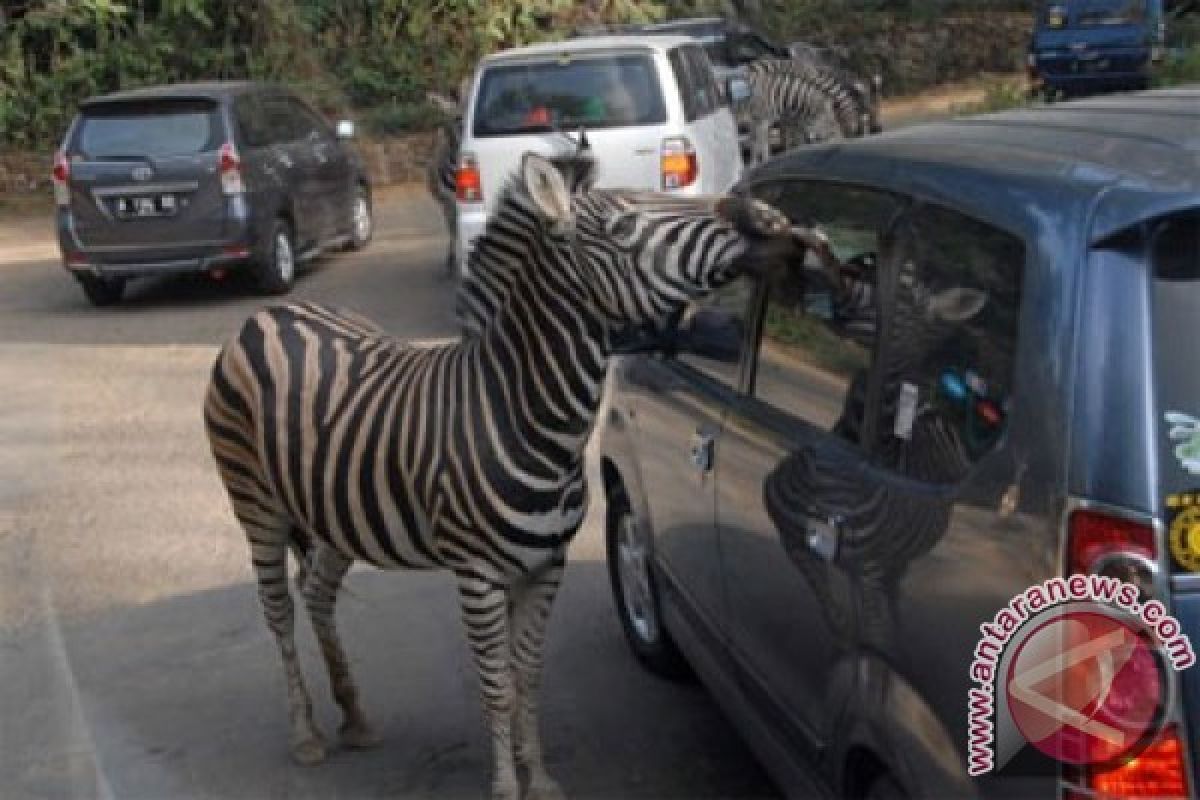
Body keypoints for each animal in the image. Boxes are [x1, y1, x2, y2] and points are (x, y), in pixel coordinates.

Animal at [204, 151, 796, 800]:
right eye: (623, 228)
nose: (768, 219)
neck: (525, 417)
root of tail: (271, 312)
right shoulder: (478, 575)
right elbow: (496, 686)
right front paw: (509, 786)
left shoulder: (543, 567)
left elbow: (528, 676)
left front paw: (539, 777)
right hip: (255, 504)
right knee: (278, 612)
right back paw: (306, 733)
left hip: (333, 511)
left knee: (316, 594)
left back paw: (355, 717)